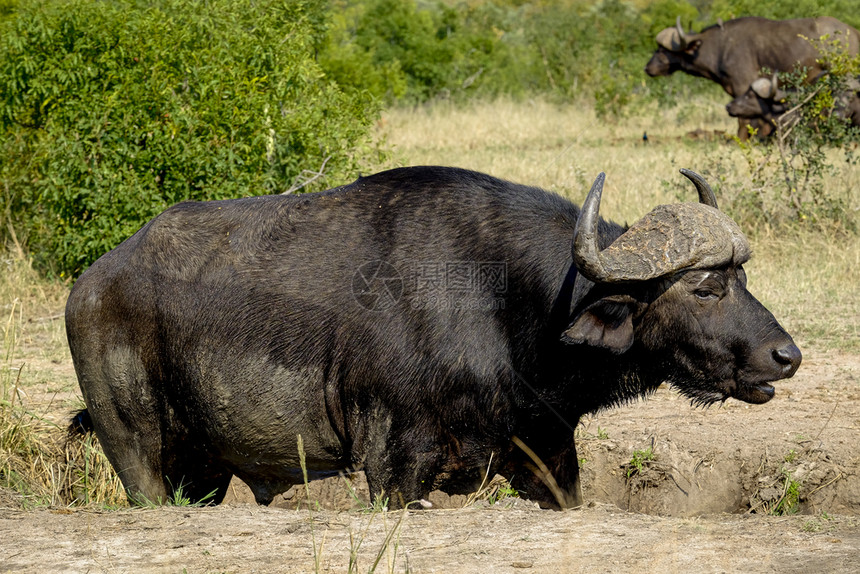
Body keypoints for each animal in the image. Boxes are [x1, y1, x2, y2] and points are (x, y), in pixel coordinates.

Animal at [65, 168, 800, 512]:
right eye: (706, 285)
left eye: (742, 275)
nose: (785, 356)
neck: (508, 307)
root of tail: (93, 282)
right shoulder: (394, 467)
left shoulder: (548, 456)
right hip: (136, 452)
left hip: (204, 469)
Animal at [644, 14, 860, 141]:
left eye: (662, 50)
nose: (648, 68)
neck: (720, 47)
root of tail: (854, 32)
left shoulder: (742, 86)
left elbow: (744, 120)